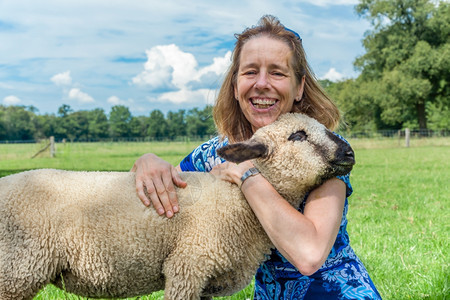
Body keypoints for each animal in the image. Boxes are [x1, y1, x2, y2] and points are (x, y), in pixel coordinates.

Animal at [0, 112, 356, 300]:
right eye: (298, 136)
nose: (349, 152)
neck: (236, 201)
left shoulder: (207, 282)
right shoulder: (188, 266)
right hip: (16, 269)